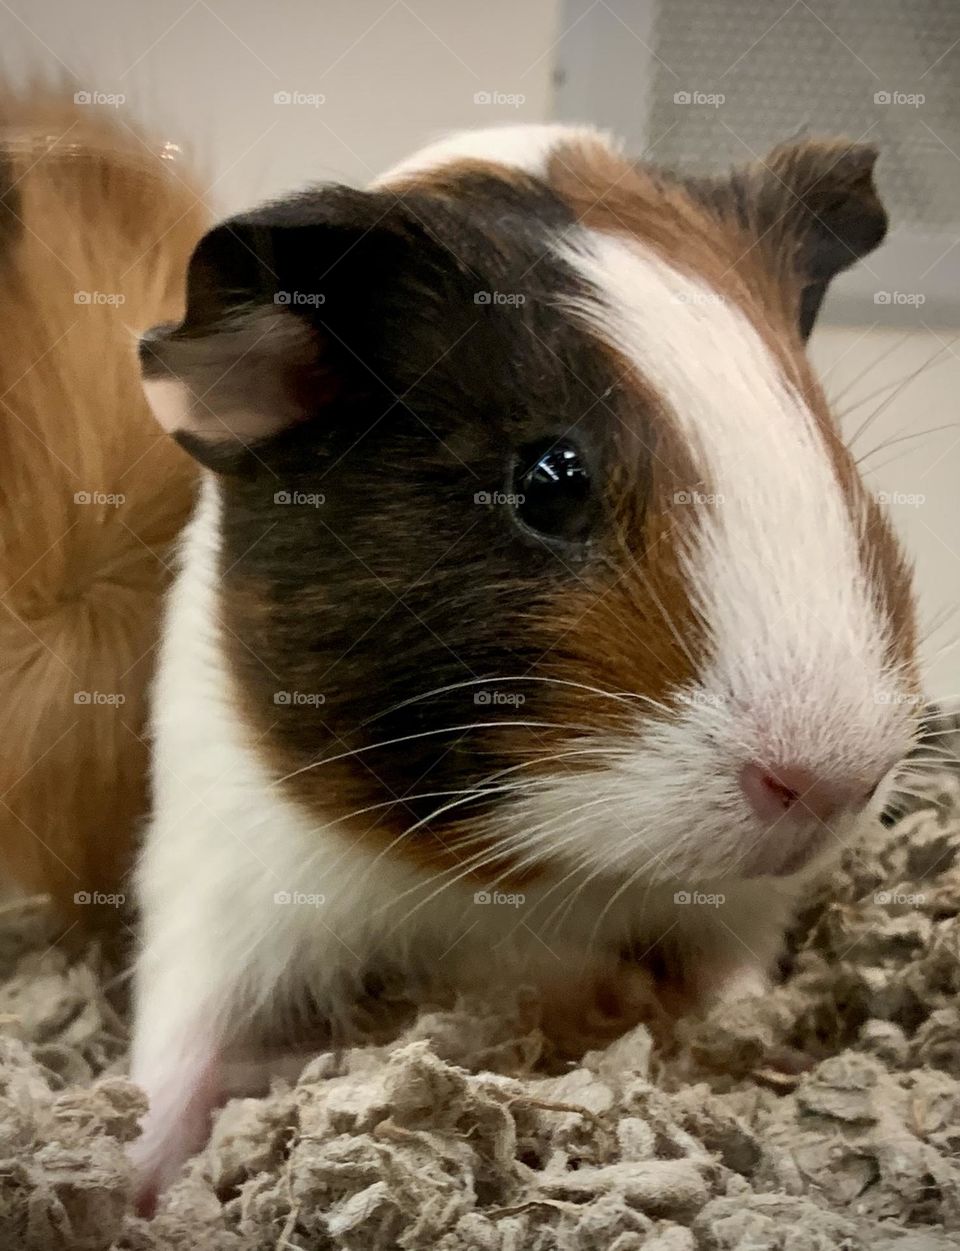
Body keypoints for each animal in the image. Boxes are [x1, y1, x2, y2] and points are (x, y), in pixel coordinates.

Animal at [130, 123, 921, 1205]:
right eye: (549, 481)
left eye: (830, 444)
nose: (831, 781)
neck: (533, 880)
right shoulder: (221, 897)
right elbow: (171, 1064)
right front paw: (125, 1189)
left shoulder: (736, 919)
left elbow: (730, 985)